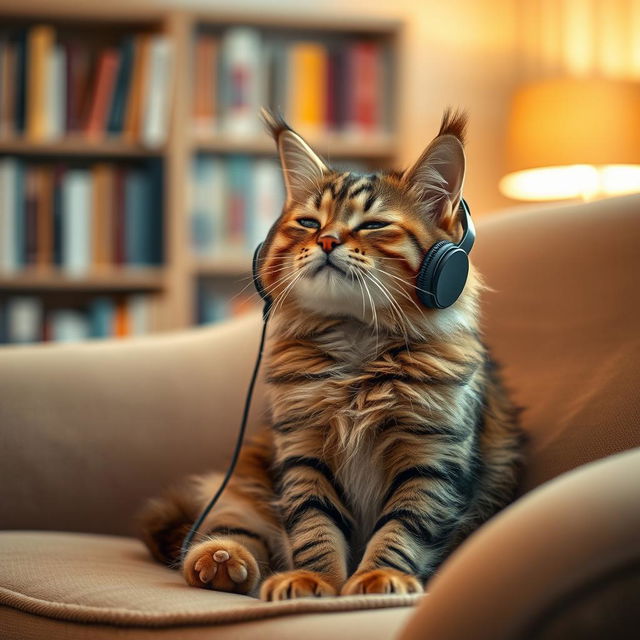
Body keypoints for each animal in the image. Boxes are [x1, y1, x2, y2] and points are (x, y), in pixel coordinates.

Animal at [138, 109, 524, 600]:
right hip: (244, 485)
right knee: (231, 532)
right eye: (308, 223)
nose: (326, 241)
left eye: (373, 225)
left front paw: (379, 578)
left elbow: (402, 529)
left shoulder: (431, 459)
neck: (356, 347)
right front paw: (315, 580)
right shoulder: (304, 452)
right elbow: (315, 528)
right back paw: (221, 561)